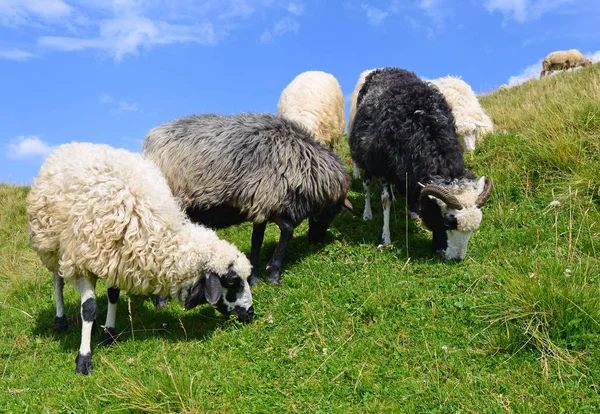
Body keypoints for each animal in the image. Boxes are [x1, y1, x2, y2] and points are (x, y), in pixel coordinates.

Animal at [27, 142, 253, 376]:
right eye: (232, 282)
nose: (251, 313)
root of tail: (71, 145)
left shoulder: (116, 261)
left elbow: (112, 295)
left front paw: (109, 333)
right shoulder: (81, 263)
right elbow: (88, 308)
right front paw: (84, 359)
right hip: (51, 247)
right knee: (58, 282)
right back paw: (60, 320)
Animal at [142, 113, 354, 288]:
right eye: (331, 214)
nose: (316, 241)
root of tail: (148, 143)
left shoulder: (260, 204)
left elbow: (257, 240)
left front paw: (254, 279)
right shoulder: (268, 198)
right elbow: (287, 229)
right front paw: (273, 274)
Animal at [346, 69, 492, 260]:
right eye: (448, 222)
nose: (456, 259)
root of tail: (385, 69)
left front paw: (414, 212)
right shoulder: (384, 168)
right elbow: (385, 200)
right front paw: (385, 239)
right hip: (367, 156)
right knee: (367, 183)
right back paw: (367, 213)